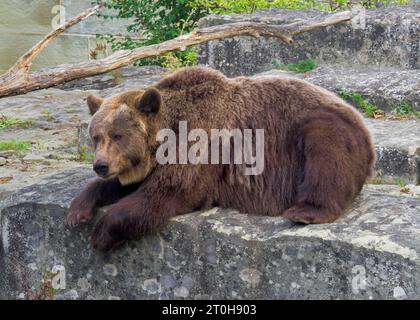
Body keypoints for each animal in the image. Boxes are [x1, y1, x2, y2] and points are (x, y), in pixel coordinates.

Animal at [67, 66, 376, 251]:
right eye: (96, 136)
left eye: (117, 135)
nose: (101, 165)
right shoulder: (146, 165)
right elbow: (125, 185)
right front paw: (78, 210)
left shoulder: (199, 143)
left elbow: (165, 193)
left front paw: (101, 234)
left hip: (320, 127)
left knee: (327, 158)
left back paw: (305, 211)